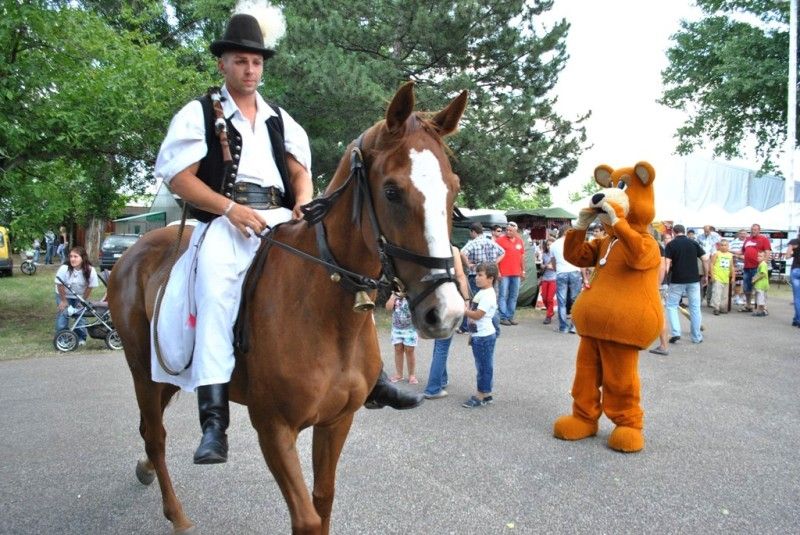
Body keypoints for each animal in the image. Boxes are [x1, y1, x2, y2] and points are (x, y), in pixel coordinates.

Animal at [107, 81, 468, 534]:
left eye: (453, 188)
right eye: (392, 191)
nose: (447, 313)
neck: (326, 315)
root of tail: (131, 253)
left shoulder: (335, 422)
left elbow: (323, 500)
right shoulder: (275, 430)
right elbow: (308, 518)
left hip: (164, 374)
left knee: (149, 430)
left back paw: (145, 472)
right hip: (142, 370)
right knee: (155, 436)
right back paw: (178, 515)